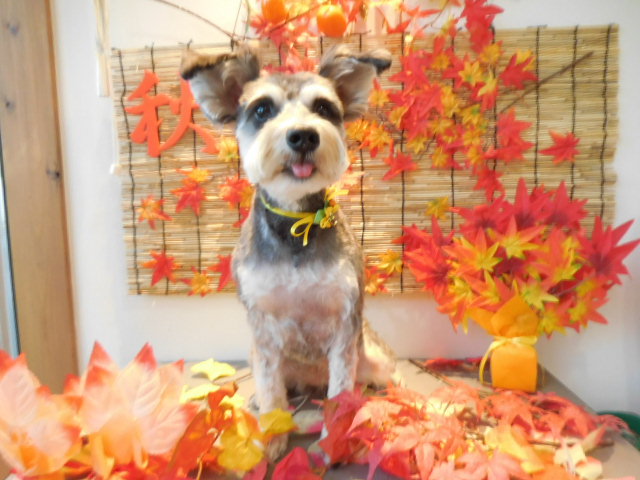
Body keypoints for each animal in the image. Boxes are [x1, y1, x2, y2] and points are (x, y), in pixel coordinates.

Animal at [181, 44, 400, 459]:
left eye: (325, 109)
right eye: (262, 110)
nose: (303, 136)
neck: (296, 221)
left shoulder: (345, 322)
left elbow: (340, 393)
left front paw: (333, 444)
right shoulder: (263, 329)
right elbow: (270, 390)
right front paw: (270, 441)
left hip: (373, 353)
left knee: (374, 378)